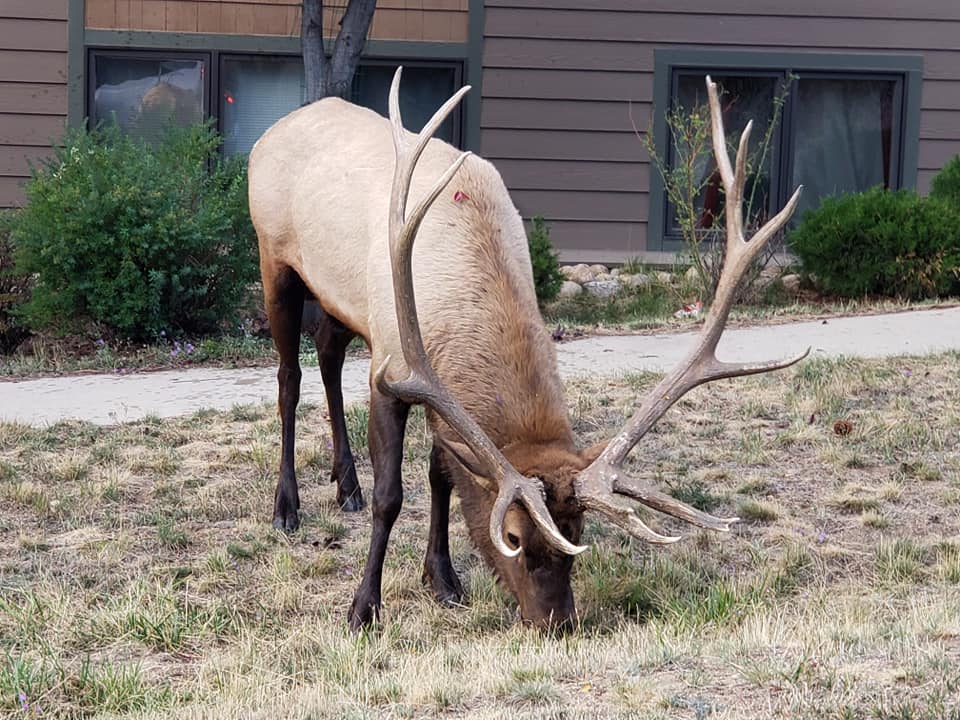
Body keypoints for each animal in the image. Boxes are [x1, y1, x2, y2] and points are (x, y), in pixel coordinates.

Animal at [251, 69, 808, 632]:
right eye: (514, 538)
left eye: (577, 534)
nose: (558, 621)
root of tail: (275, 128)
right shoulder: (394, 367)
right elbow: (391, 496)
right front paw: (364, 608)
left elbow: (441, 476)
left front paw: (444, 580)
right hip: (274, 258)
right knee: (289, 378)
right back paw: (287, 507)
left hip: (338, 297)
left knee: (327, 352)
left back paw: (346, 487)